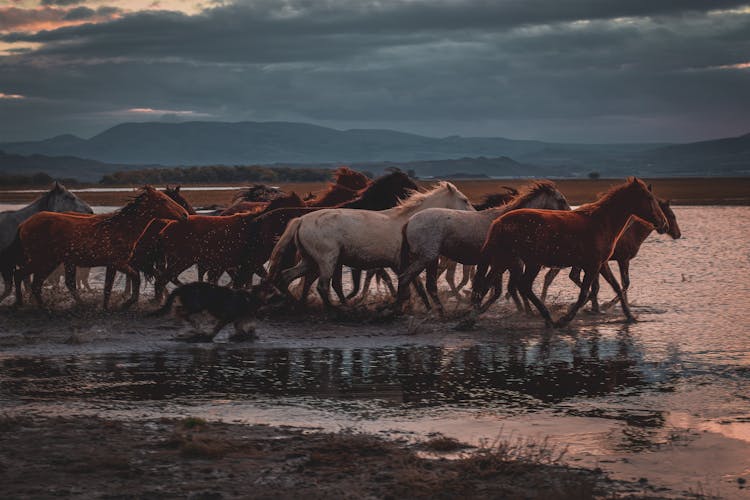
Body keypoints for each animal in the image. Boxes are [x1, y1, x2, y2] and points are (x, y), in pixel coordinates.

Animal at [11, 185, 189, 306]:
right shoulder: (120, 263)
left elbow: (108, 289)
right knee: (26, 279)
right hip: (44, 261)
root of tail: (23, 225)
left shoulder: (113, 265)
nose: (185, 215)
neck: (123, 228)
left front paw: (107, 307)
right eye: (163, 200)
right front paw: (128, 302)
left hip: (55, 262)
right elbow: (135, 279)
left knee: (39, 282)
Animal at [268, 184, 476, 308]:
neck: (410, 222)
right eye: (464, 200)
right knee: (322, 286)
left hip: (309, 260)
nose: (475, 214)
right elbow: (409, 288)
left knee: (287, 276)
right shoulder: (403, 264)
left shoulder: (406, 264)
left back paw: (294, 303)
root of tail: (301, 220)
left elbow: (415, 288)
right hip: (327, 260)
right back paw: (336, 311)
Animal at [400, 182, 568, 314]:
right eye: (561, 200)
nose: (567, 216)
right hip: (426, 258)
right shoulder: (499, 263)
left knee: (427, 285)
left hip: (430, 259)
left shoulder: (497, 263)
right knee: (406, 278)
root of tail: (408, 222)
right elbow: (491, 288)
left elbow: (491, 288)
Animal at [470, 180, 668, 328]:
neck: (601, 222)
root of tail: (498, 222)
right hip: (522, 262)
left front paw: (630, 316)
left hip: (508, 261)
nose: (664, 224)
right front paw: (566, 319)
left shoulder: (600, 264)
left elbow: (615, 286)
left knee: (495, 286)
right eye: (649, 198)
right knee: (510, 286)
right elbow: (585, 293)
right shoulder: (593, 265)